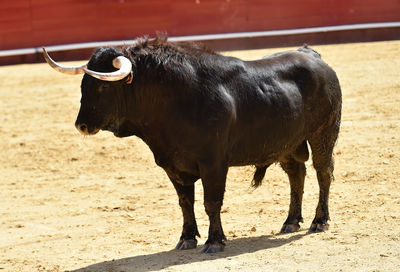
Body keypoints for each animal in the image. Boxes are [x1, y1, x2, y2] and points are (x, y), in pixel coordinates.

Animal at [45, 38, 342, 253]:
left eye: (104, 87)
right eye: (84, 84)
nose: (81, 125)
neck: (174, 100)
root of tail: (312, 55)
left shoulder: (213, 163)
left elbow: (212, 201)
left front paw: (214, 242)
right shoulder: (173, 165)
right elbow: (185, 202)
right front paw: (186, 238)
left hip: (324, 133)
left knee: (323, 172)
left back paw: (319, 221)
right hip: (286, 144)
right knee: (296, 175)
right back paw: (290, 222)